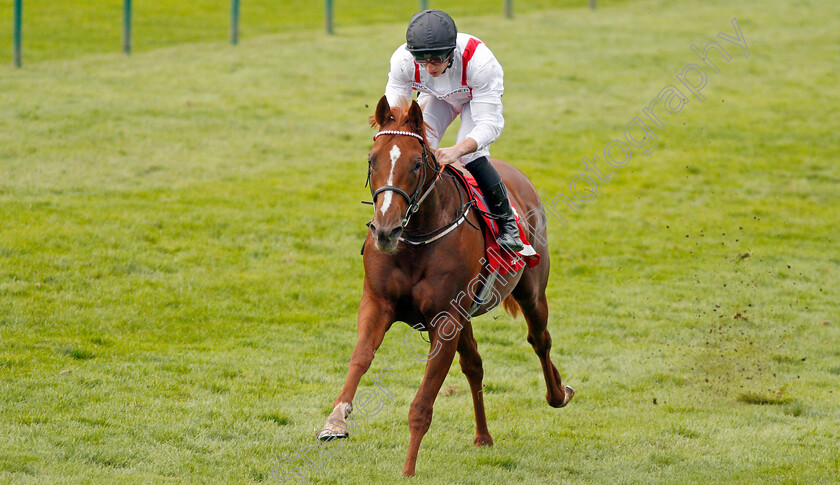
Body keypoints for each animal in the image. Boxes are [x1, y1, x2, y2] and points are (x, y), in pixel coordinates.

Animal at [318, 95, 576, 476]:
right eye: (371, 160)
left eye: (415, 164)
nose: (385, 230)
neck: (416, 238)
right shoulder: (378, 302)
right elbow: (361, 356)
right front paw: (336, 420)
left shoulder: (446, 320)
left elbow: (422, 403)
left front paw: (408, 470)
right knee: (475, 365)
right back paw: (483, 437)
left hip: (531, 291)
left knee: (540, 340)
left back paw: (558, 393)